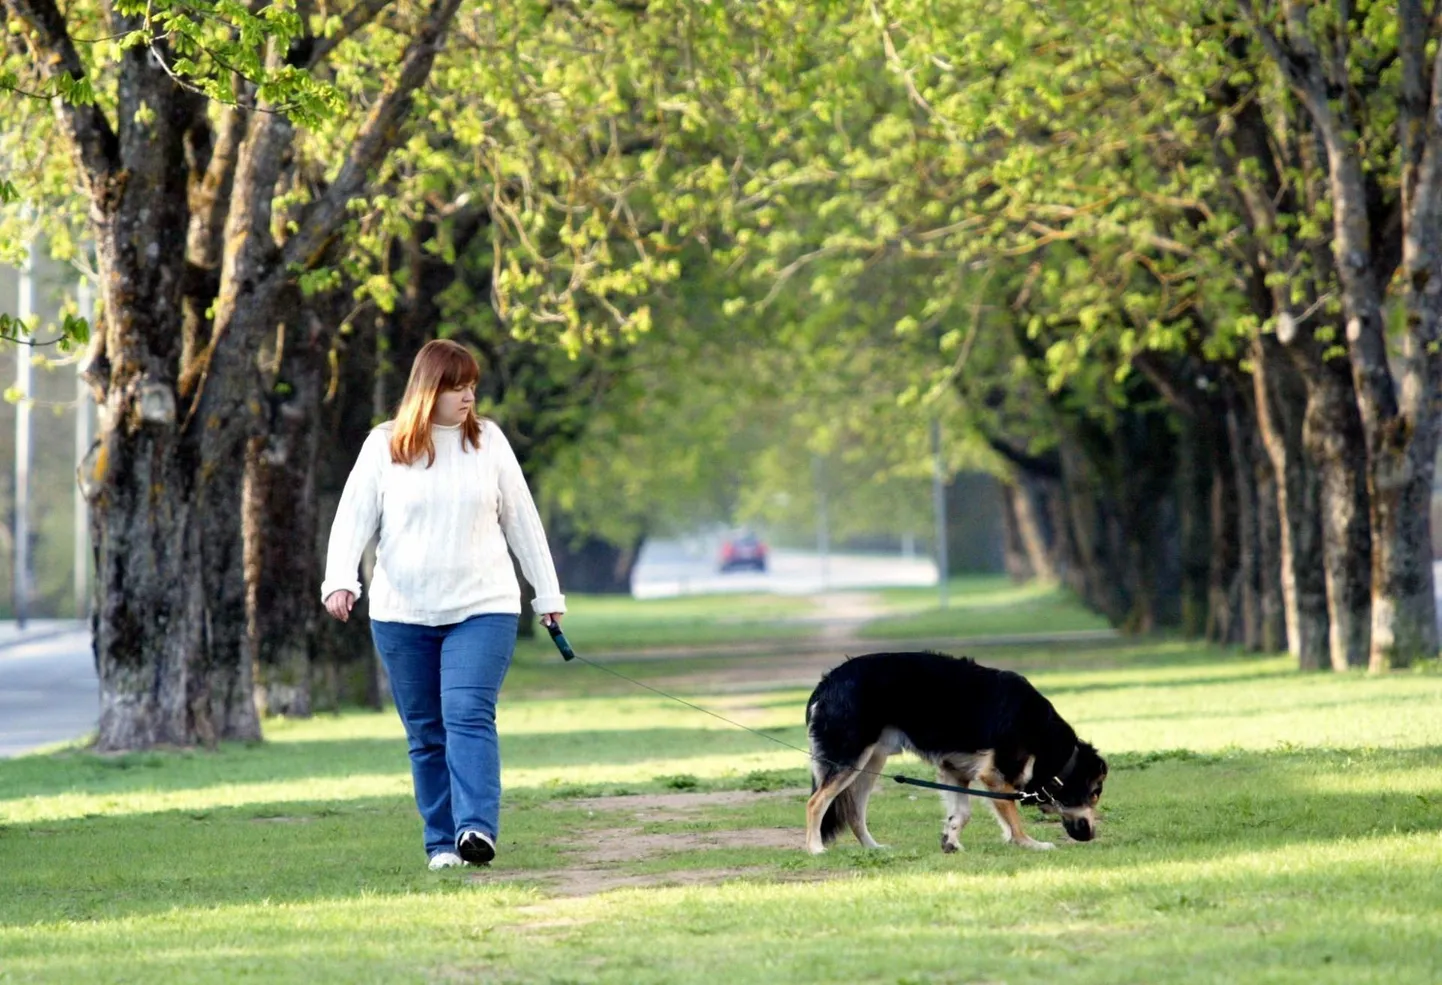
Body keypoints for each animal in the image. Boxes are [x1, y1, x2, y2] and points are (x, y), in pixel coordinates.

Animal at [807, 651, 1107, 853]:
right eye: (1094, 794)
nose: (1091, 835)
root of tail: (827, 682)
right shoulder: (996, 776)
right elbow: (1011, 817)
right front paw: (1028, 843)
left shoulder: (955, 770)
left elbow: (962, 813)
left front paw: (950, 841)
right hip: (849, 760)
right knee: (815, 803)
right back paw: (815, 848)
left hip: (869, 762)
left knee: (854, 813)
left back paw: (873, 847)